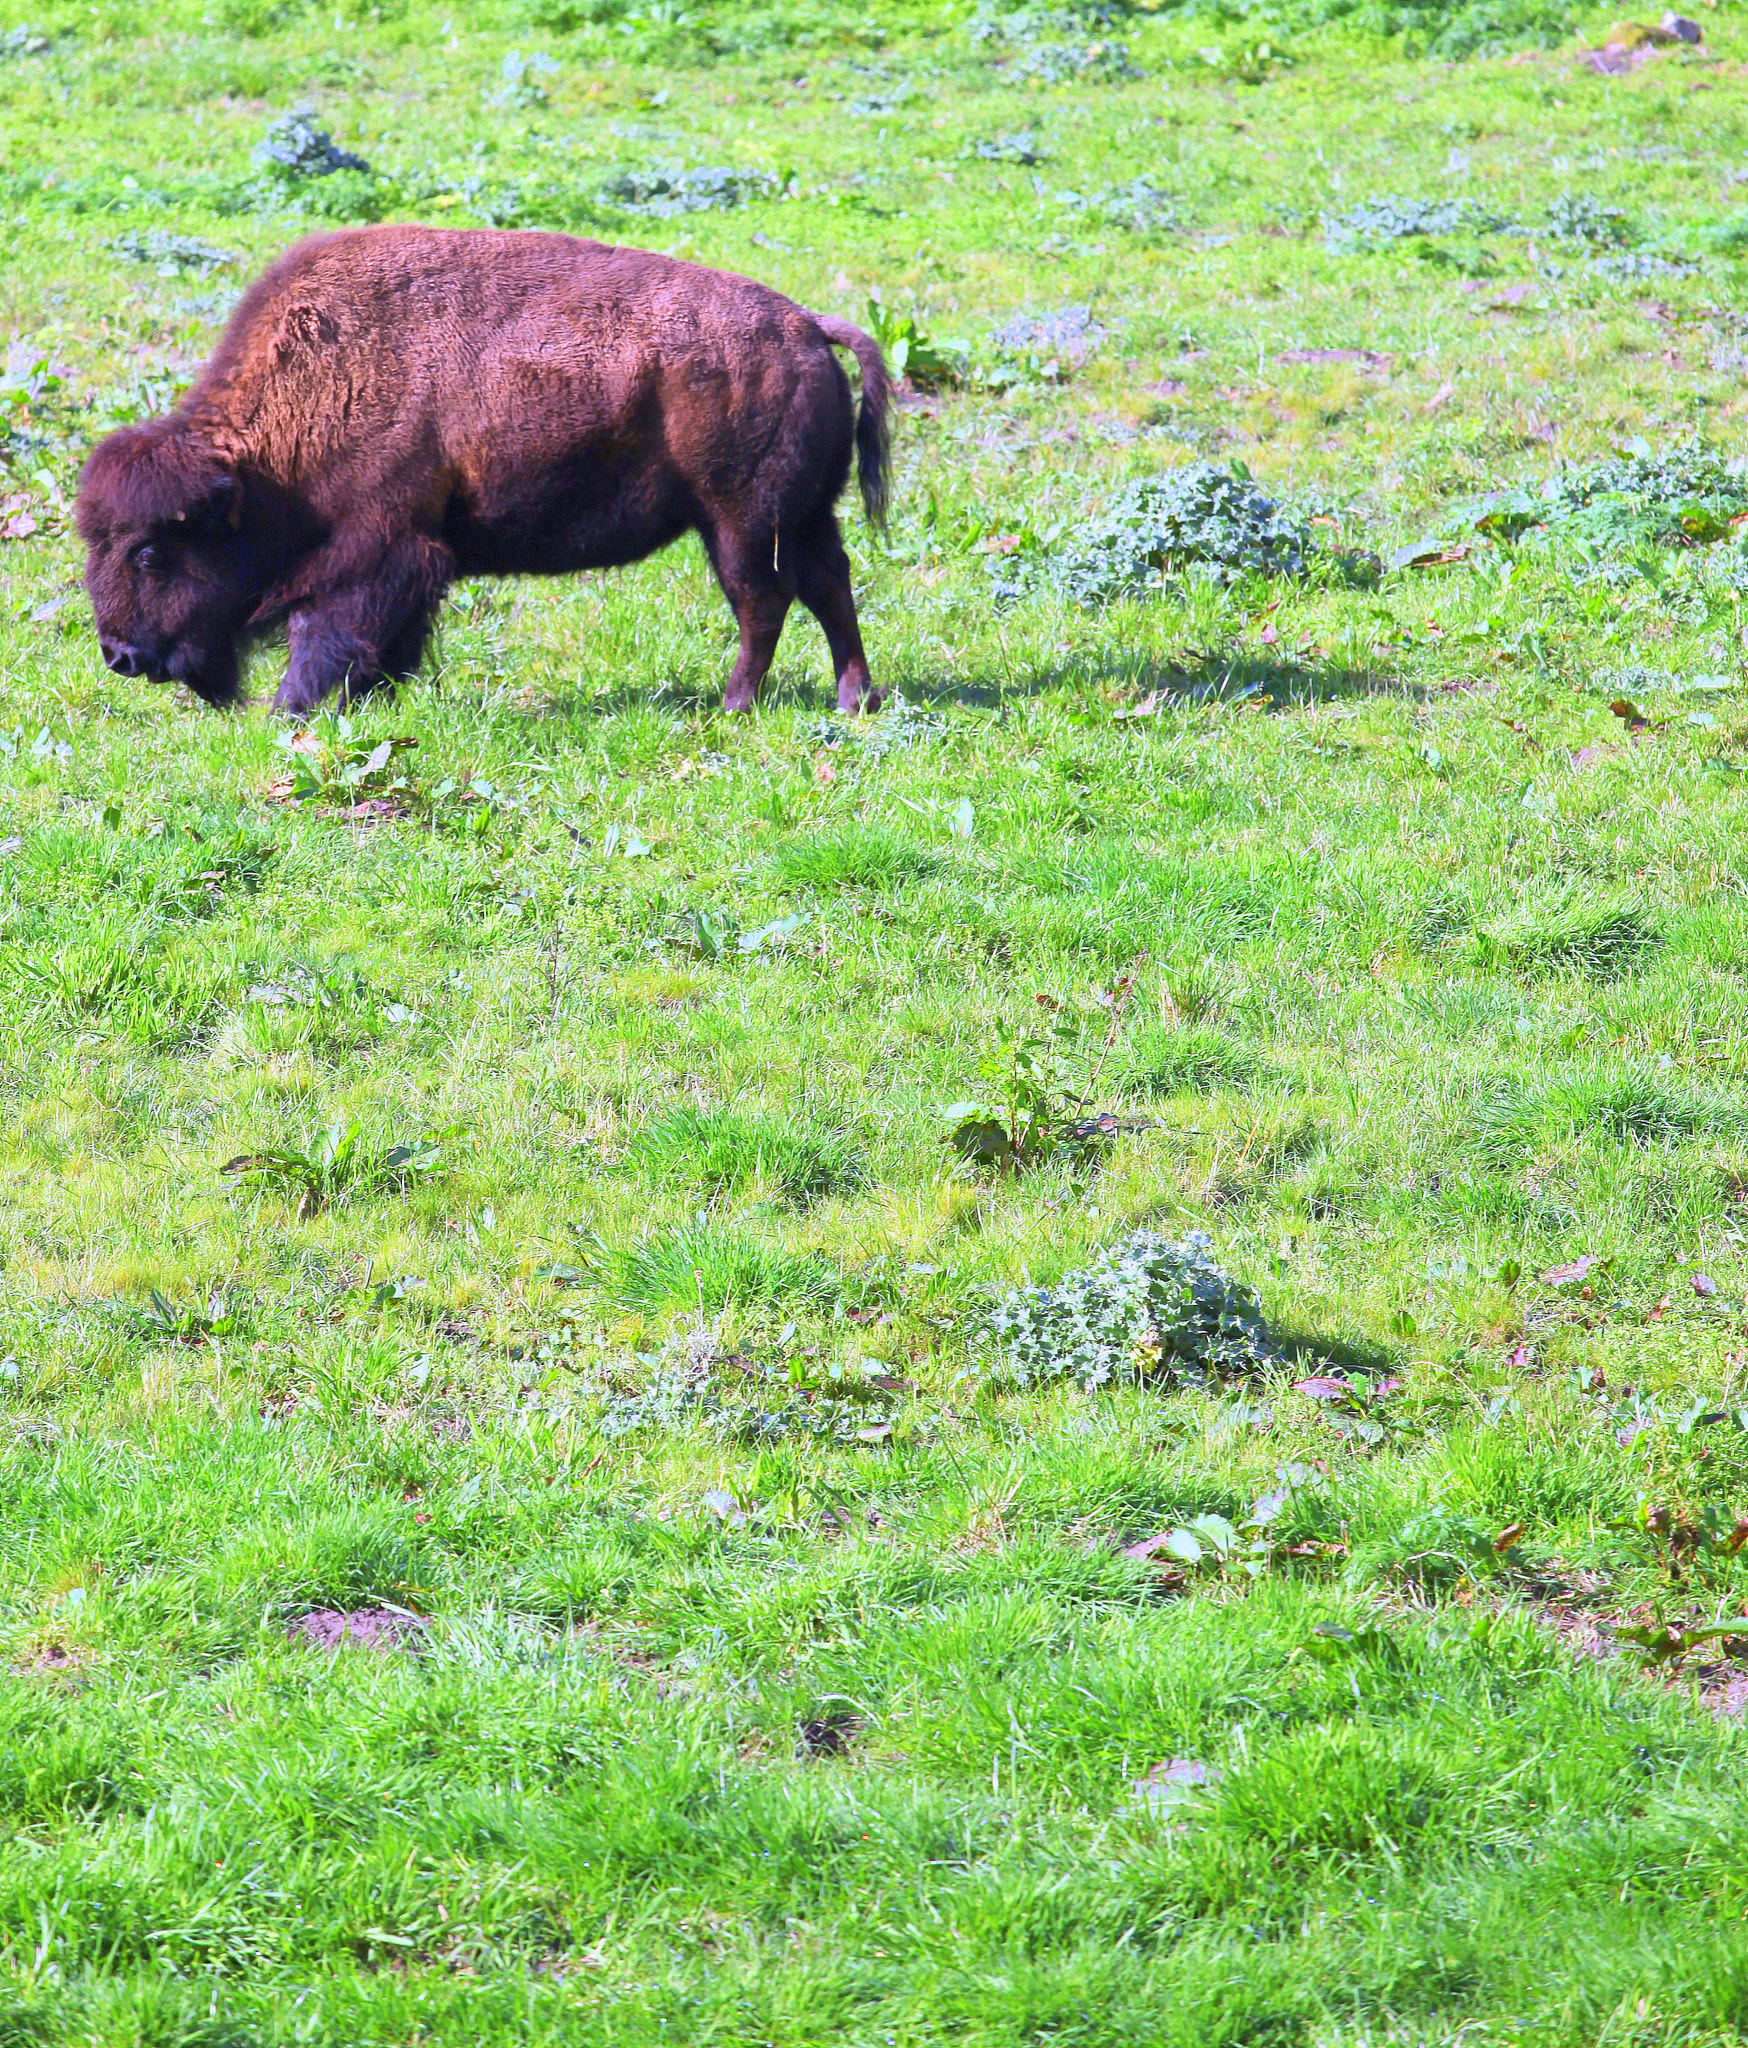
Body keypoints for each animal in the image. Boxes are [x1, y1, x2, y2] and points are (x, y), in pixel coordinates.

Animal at [76, 226, 891, 716]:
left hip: (739, 522)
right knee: (828, 587)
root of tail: (807, 326)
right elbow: (384, 643)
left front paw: (292, 711)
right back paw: (854, 700)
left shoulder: (375, 552)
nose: (119, 655)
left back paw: (733, 707)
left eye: (149, 552)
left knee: (765, 601)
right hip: (802, 515)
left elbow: (326, 635)